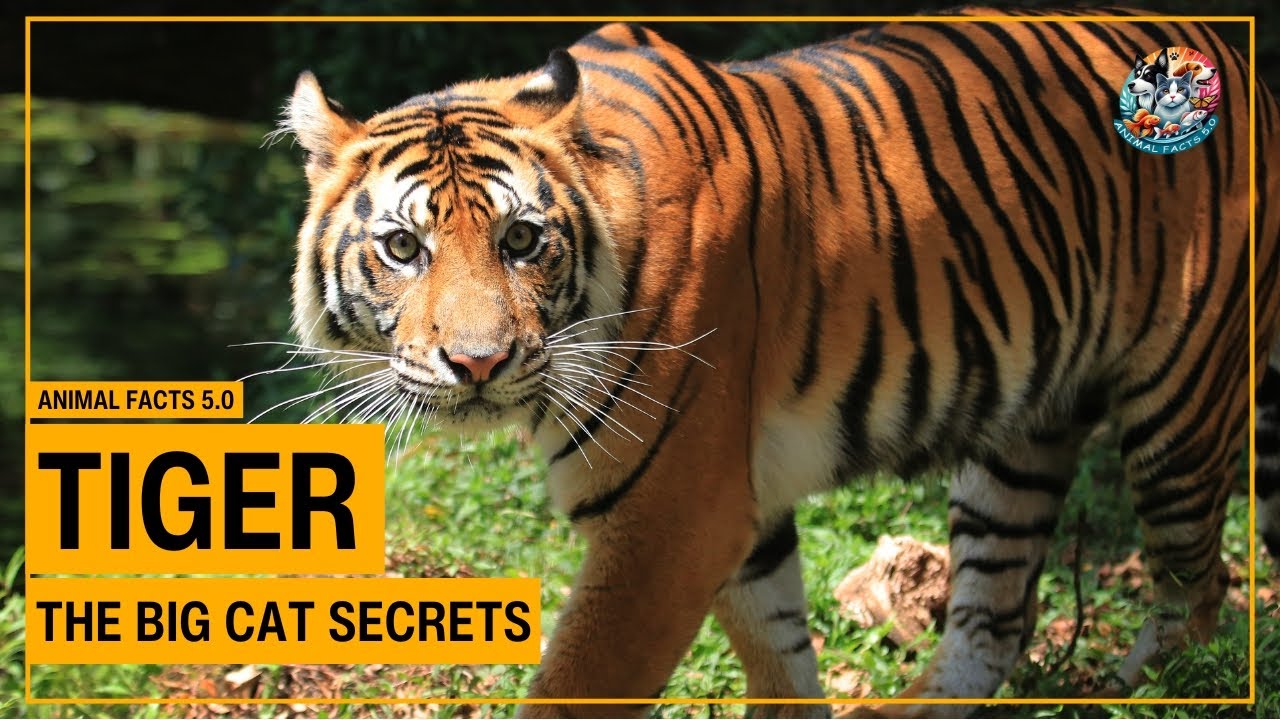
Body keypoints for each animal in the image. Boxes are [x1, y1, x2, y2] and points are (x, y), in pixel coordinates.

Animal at [278, 8, 1280, 718]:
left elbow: (575, 688)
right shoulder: (733, 511)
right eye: (403, 248)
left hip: (1180, 410)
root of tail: (1226, 54)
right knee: (996, 611)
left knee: (1200, 590)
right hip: (1023, 435)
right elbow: (780, 652)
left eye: (522, 241)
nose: (478, 363)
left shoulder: (672, 517)